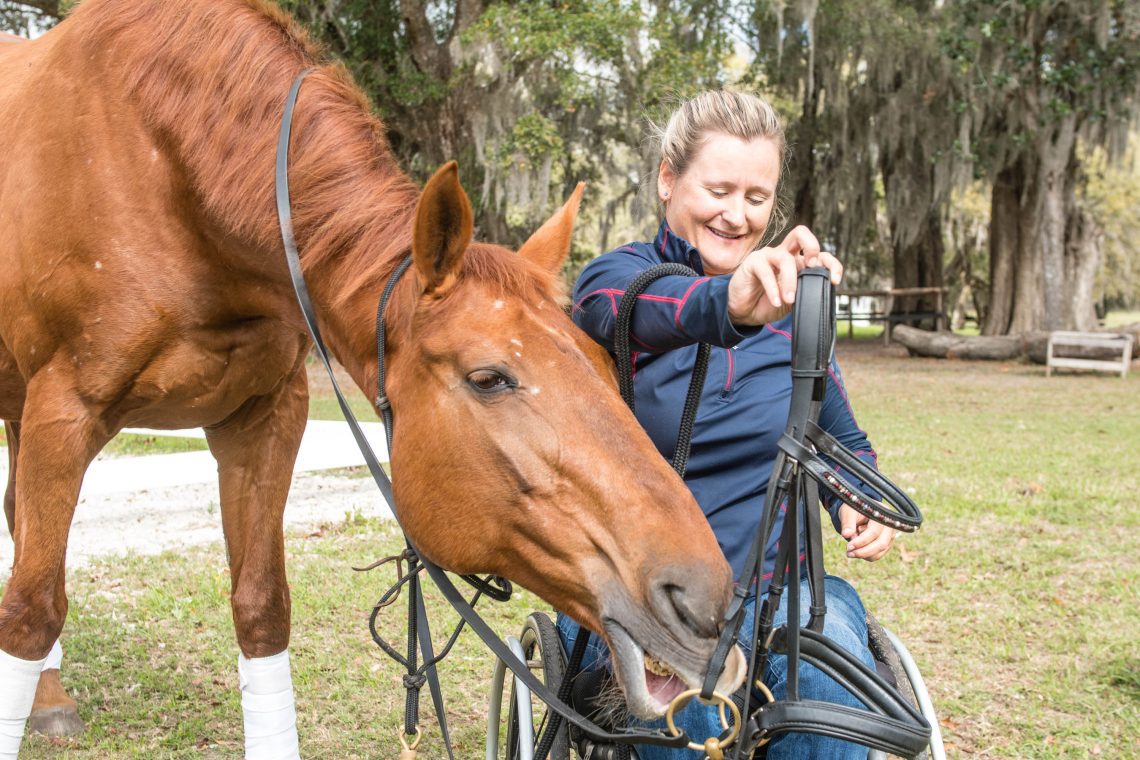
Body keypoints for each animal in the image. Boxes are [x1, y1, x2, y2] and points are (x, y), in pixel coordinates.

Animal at [0, 0, 747, 756]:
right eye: (489, 378)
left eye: (602, 362)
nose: (705, 602)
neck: (168, 176)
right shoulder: (65, 411)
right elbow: (31, 611)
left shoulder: (266, 416)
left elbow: (261, 607)